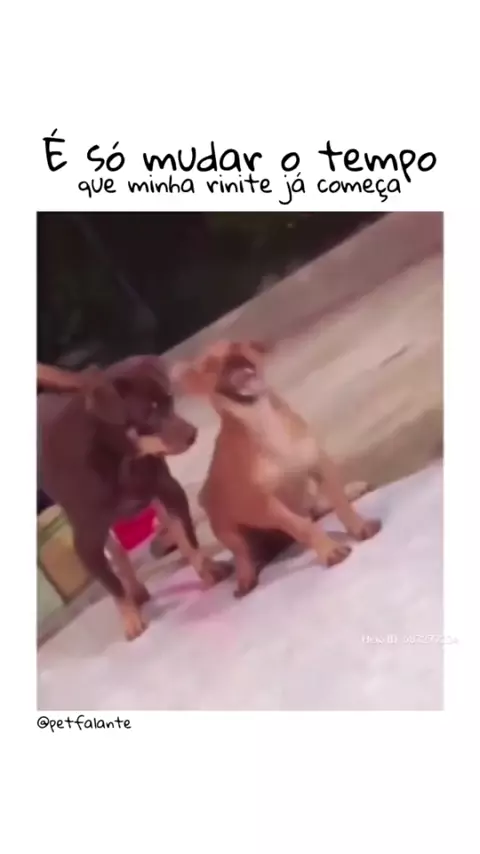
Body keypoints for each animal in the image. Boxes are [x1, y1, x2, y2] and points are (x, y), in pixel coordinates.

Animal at [38, 356, 231, 640]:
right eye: (148, 413)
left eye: (169, 401)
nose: (192, 434)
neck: (123, 460)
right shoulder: (86, 543)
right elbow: (113, 585)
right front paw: (130, 618)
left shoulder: (170, 491)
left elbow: (188, 536)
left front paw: (208, 568)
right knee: (117, 552)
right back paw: (135, 590)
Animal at [177, 340, 381, 598]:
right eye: (209, 366)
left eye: (237, 346)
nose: (233, 357)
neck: (263, 418)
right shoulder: (266, 504)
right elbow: (303, 527)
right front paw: (330, 551)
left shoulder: (320, 465)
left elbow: (341, 505)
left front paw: (359, 527)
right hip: (224, 526)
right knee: (243, 553)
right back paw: (246, 577)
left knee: (316, 508)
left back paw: (351, 490)